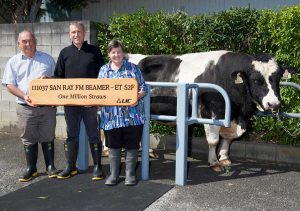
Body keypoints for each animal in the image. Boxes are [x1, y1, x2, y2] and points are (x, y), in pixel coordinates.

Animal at [127, 50, 298, 171]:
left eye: (278, 78)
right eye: (256, 80)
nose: (274, 105)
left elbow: (229, 139)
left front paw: (224, 157)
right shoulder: (210, 113)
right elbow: (214, 140)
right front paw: (214, 162)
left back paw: (149, 150)